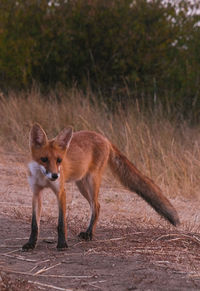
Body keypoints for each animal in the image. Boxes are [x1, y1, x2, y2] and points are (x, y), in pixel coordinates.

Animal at [21, 123, 180, 251]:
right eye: (44, 159)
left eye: (59, 160)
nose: (55, 175)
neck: (43, 178)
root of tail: (104, 138)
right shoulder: (36, 192)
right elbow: (34, 224)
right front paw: (31, 243)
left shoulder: (60, 192)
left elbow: (61, 223)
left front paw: (62, 244)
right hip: (82, 184)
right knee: (96, 206)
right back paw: (88, 232)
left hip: (91, 182)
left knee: (96, 206)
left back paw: (89, 234)